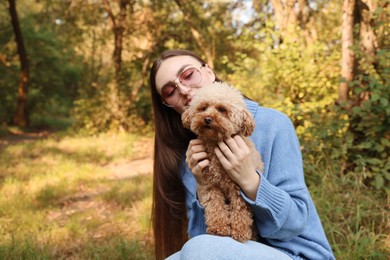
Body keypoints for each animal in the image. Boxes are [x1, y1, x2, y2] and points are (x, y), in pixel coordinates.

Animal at [182, 82, 262, 243]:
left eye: (222, 109)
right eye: (203, 107)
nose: (207, 119)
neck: (215, 144)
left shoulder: (238, 186)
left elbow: (240, 210)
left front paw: (240, 231)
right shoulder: (211, 185)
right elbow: (215, 206)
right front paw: (218, 227)